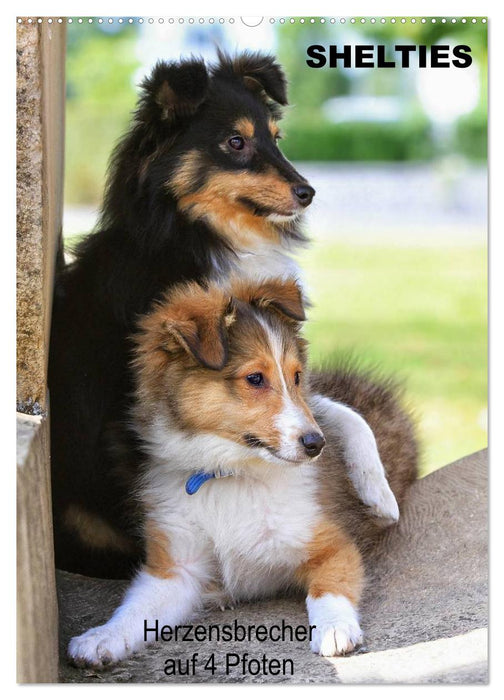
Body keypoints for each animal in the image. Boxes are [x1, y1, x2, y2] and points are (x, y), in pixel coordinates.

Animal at [69, 278, 420, 668]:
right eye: (254, 378)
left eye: (297, 377)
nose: (316, 444)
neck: (228, 474)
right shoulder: (177, 568)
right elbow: (134, 611)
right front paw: (100, 638)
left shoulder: (331, 545)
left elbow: (329, 589)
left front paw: (334, 630)